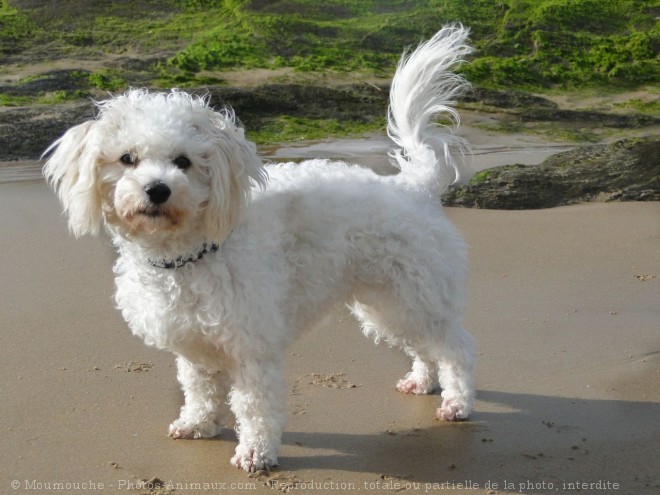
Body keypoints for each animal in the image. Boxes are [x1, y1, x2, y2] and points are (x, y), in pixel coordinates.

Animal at [46, 26, 476, 472]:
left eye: (183, 162)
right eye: (127, 159)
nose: (158, 189)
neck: (192, 251)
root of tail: (415, 187)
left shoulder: (251, 345)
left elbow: (253, 404)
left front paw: (255, 452)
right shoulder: (195, 346)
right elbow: (200, 389)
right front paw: (198, 424)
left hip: (416, 295)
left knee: (454, 347)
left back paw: (457, 402)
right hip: (388, 305)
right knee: (424, 347)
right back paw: (422, 382)